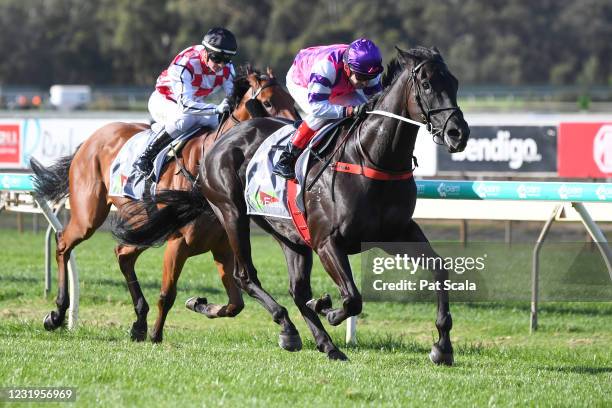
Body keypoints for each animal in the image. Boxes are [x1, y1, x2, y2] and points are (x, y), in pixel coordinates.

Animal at [31, 68, 298, 342]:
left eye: (291, 100)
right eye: (268, 102)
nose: (295, 131)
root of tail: (90, 140)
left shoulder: (221, 247)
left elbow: (236, 304)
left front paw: (197, 304)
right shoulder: (178, 243)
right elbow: (168, 294)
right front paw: (157, 335)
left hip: (144, 225)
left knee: (123, 254)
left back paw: (138, 321)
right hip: (90, 214)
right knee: (64, 243)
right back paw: (57, 314)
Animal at [113, 46, 468, 362]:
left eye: (454, 82)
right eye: (426, 85)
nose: (458, 133)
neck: (370, 157)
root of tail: (220, 142)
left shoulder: (396, 233)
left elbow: (439, 269)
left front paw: (442, 347)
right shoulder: (328, 242)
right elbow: (352, 298)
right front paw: (330, 310)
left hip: (289, 234)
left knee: (297, 291)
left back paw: (325, 344)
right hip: (232, 213)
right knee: (246, 276)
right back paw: (289, 328)